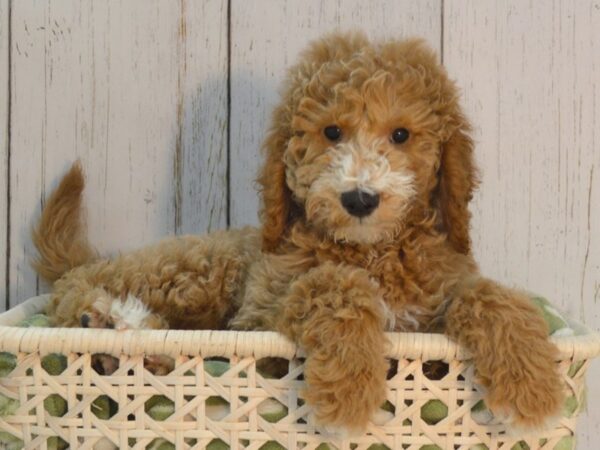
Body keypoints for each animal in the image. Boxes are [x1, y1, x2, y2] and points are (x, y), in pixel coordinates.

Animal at [32, 30, 564, 432]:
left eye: (400, 135)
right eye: (331, 132)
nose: (359, 199)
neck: (372, 250)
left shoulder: (437, 313)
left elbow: (487, 295)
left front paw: (531, 383)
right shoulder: (257, 322)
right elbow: (331, 284)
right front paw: (350, 386)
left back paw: (133, 352)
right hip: (195, 273)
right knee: (73, 300)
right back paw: (111, 327)